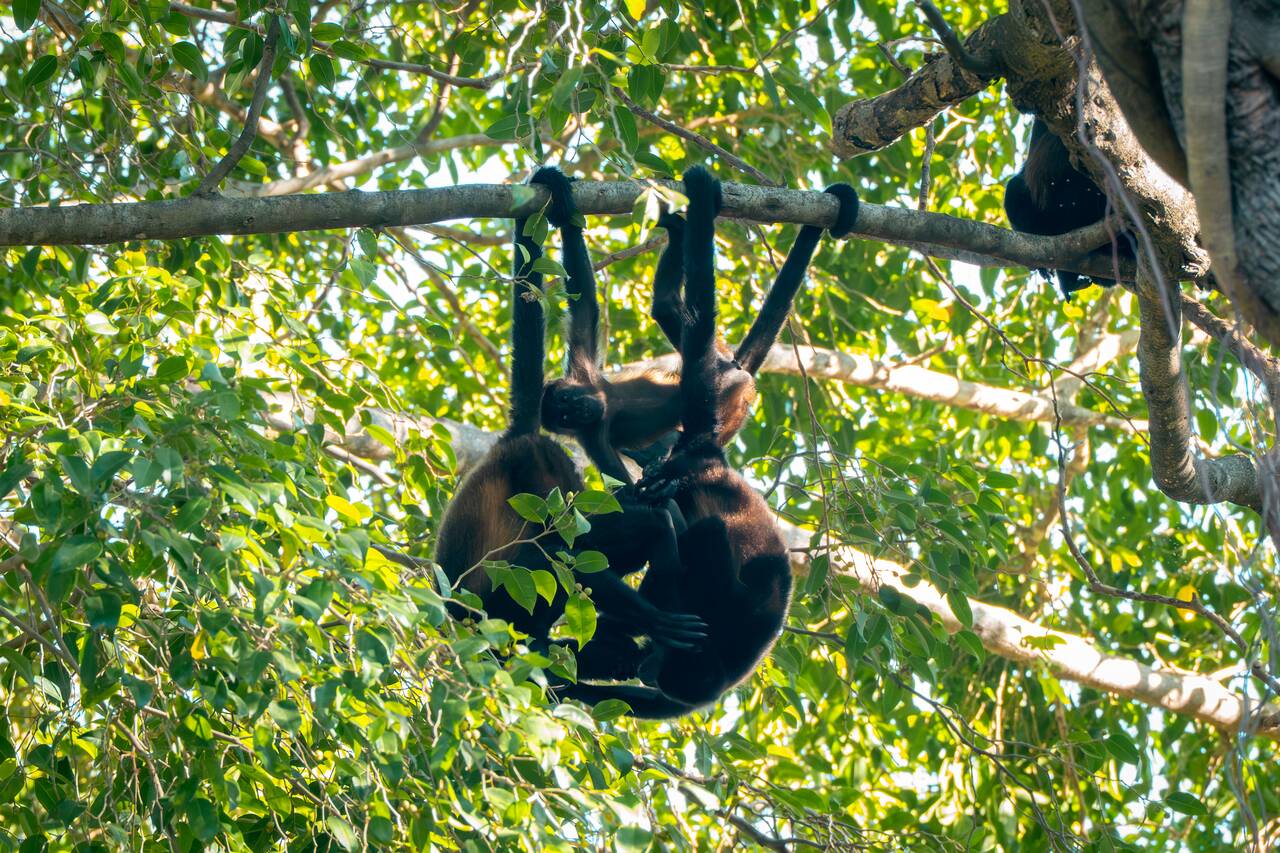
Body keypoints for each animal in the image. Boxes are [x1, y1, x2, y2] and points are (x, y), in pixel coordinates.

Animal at [536, 168, 860, 483]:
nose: (579, 410)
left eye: (567, 400)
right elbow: (621, 489)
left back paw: (676, 227)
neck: (604, 406)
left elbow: (583, 300)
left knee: (665, 307)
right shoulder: (594, 442)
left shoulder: (584, 373)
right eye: (564, 418)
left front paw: (559, 198)